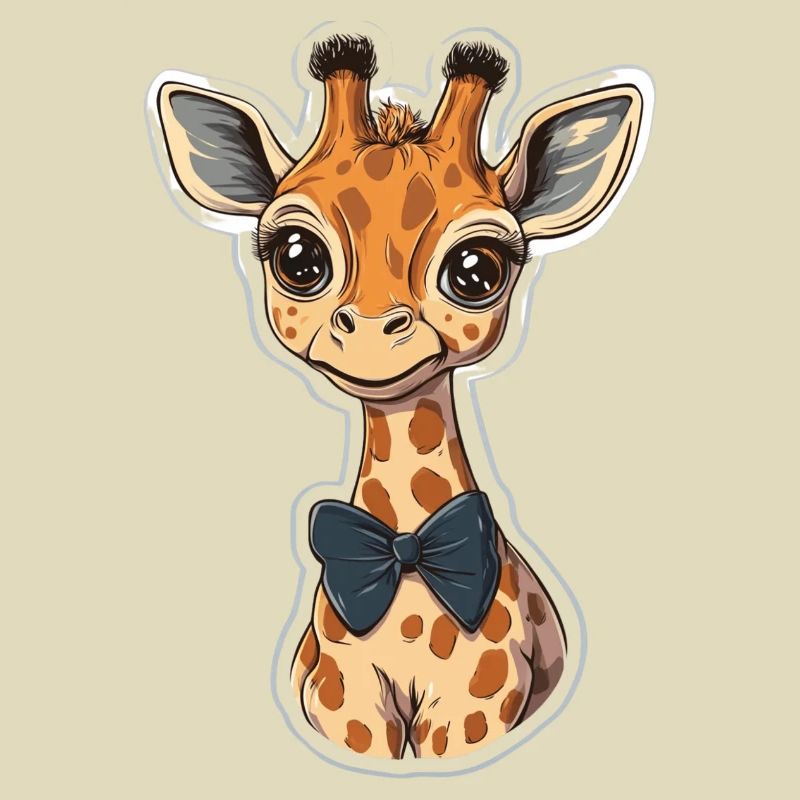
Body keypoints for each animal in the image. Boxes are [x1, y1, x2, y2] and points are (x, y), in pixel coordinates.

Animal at [155, 34, 646, 760]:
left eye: (477, 270)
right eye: (297, 257)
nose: (369, 336)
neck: (407, 556)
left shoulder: (477, 709)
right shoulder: (345, 703)